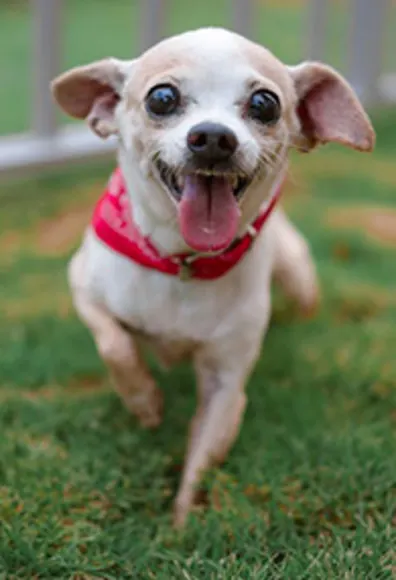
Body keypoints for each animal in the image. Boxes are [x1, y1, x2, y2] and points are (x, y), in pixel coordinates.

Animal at [51, 26, 374, 524]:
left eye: (265, 104)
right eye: (162, 98)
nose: (214, 137)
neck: (185, 263)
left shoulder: (225, 385)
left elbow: (201, 460)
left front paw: (181, 525)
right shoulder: (84, 287)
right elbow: (115, 345)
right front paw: (145, 403)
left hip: (297, 276)